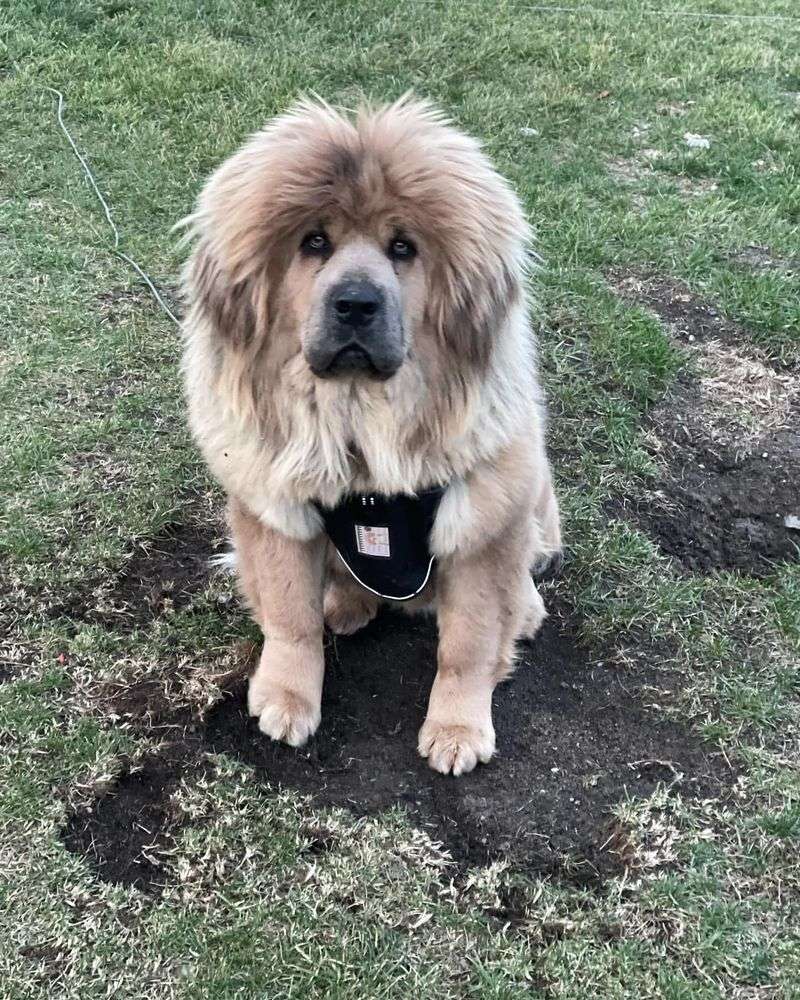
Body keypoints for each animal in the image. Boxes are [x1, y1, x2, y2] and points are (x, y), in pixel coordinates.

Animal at [183, 97, 564, 776]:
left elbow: (466, 646)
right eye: (314, 242)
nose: (356, 302)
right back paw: (346, 605)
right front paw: (286, 698)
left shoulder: (481, 527)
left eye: (402, 248)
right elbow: (290, 619)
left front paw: (457, 730)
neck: (360, 422)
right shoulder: (276, 510)